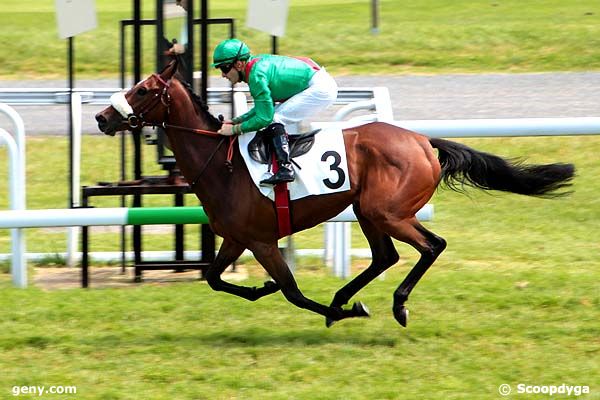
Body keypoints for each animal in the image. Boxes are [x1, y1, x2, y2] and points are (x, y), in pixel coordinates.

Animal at [96, 60, 576, 328]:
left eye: (143, 90)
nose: (102, 118)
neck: (221, 162)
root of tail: (423, 142)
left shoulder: (261, 240)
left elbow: (291, 292)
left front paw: (336, 311)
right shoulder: (235, 237)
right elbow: (215, 279)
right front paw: (262, 289)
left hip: (388, 212)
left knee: (431, 246)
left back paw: (393, 305)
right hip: (367, 211)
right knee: (386, 256)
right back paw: (347, 297)